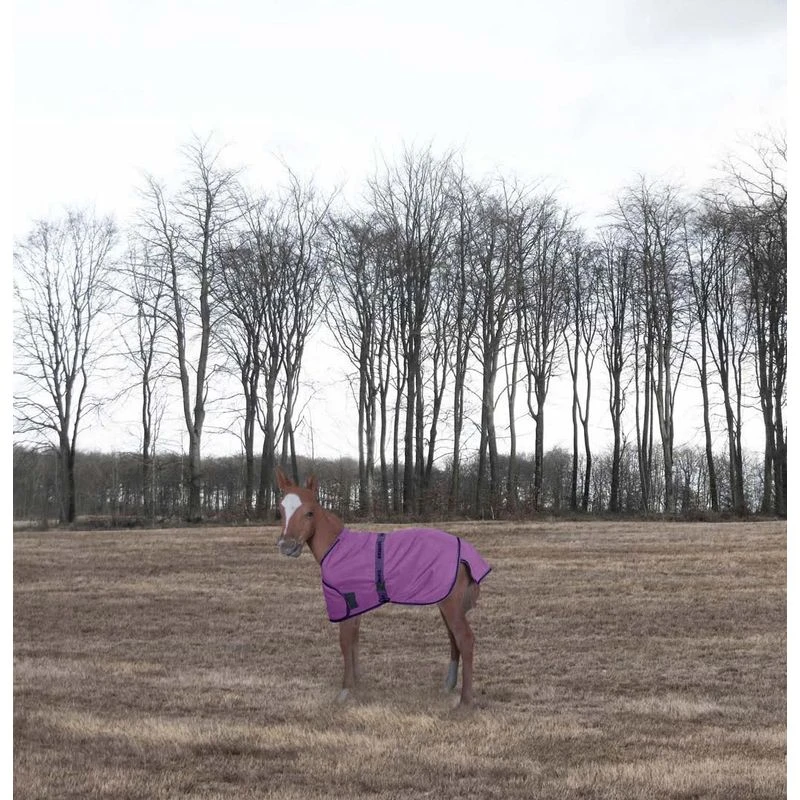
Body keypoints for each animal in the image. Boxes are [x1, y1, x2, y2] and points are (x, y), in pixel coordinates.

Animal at [274, 468, 491, 706]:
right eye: (281, 509)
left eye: (310, 513)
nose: (287, 546)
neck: (336, 548)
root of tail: (466, 552)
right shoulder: (357, 603)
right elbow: (354, 640)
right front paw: (358, 684)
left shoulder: (344, 602)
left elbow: (345, 642)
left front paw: (345, 690)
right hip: (446, 602)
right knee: (454, 639)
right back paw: (449, 686)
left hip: (450, 604)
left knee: (465, 639)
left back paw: (465, 701)